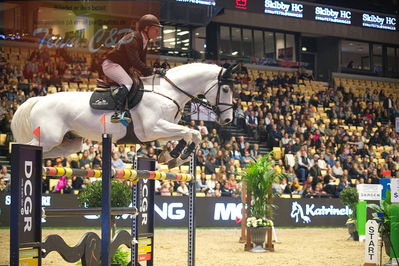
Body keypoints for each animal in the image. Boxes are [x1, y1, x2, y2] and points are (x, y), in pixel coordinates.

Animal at [11, 62, 238, 167]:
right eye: (226, 89)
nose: (228, 119)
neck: (168, 91)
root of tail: (39, 100)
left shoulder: (161, 130)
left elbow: (187, 134)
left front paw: (171, 156)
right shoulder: (152, 129)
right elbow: (193, 132)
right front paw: (177, 157)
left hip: (68, 143)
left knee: (46, 152)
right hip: (49, 137)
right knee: (23, 146)